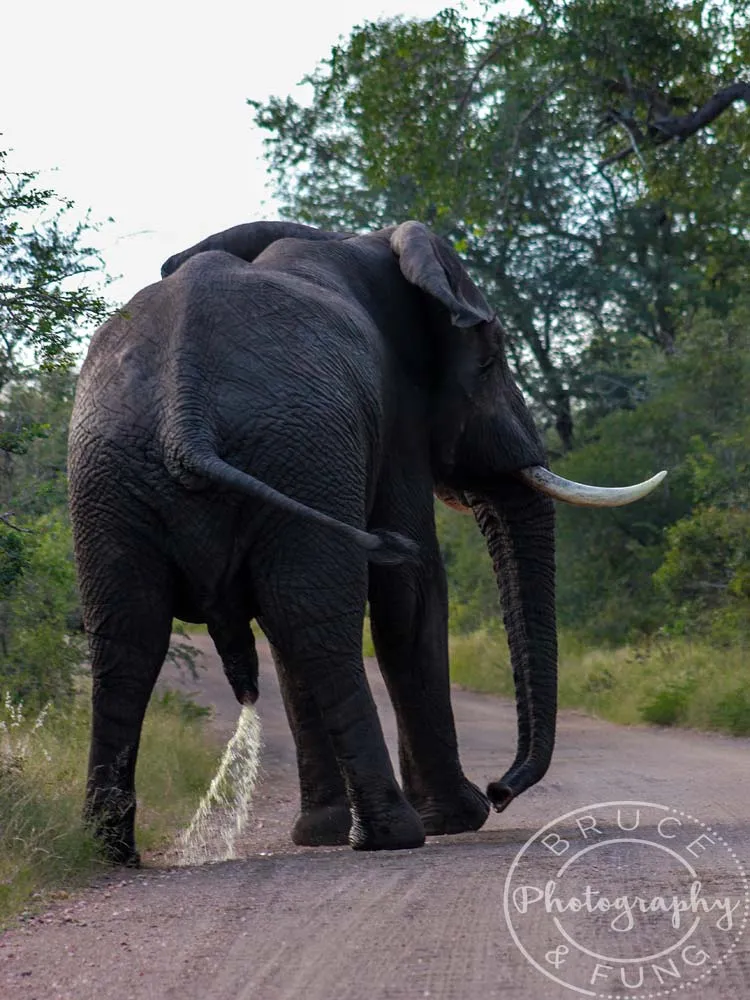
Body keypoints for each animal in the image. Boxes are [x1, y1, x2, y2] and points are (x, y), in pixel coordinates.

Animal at [68, 219, 665, 864]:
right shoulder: (397, 414)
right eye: (491, 359)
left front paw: (328, 832)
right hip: (288, 452)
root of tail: (187, 417)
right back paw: (394, 835)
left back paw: (110, 851)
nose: (501, 789)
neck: (366, 242)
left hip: (121, 475)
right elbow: (413, 589)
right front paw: (459, 818)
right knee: (319, 623)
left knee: (132, 637)